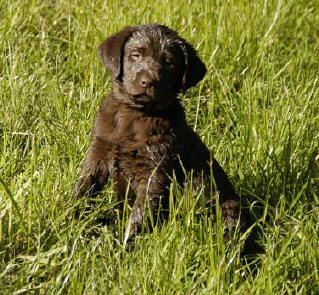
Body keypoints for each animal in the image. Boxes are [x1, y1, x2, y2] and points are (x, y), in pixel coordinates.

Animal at [74, 24, 245, 243]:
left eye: (169, 62)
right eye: (136, 54)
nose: (148, 82)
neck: (137, 114)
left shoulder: (154, 172)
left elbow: (140, 214)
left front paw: (126, 245)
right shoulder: (99, 152)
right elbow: (84, 187)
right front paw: (68, 217)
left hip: (226, 206)